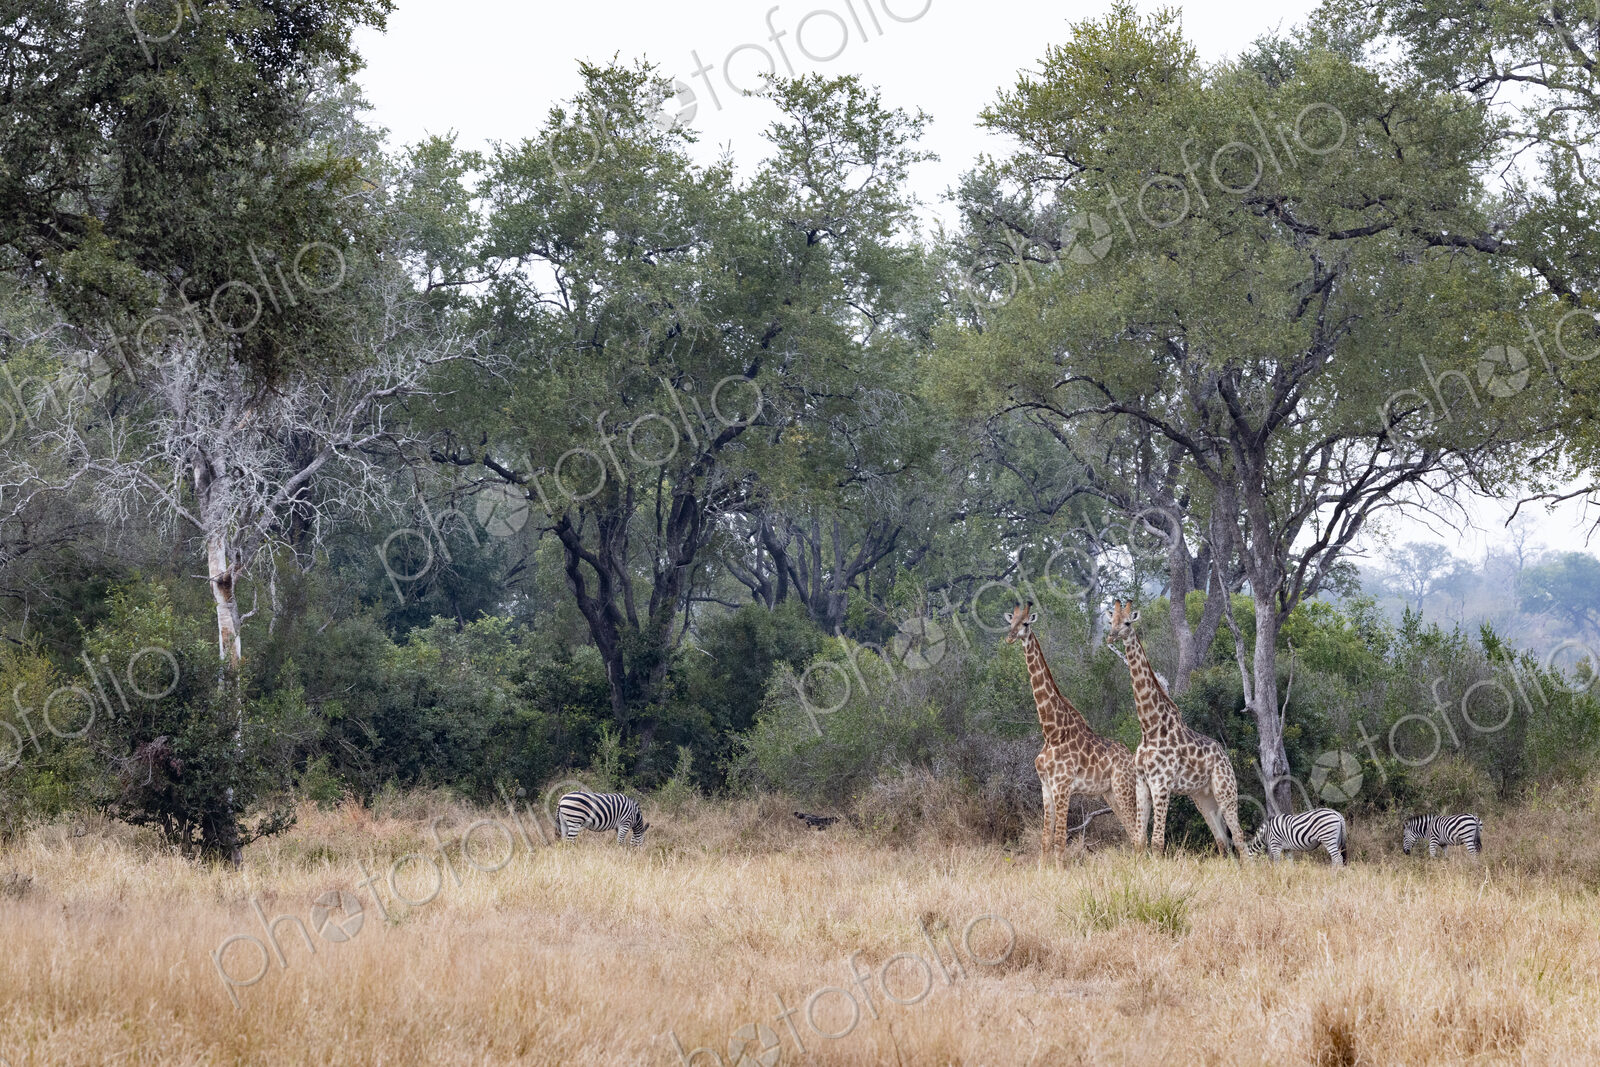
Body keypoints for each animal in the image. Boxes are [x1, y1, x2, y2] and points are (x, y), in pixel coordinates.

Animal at [1005, 603, 1138, 863]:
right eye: (1010, 621)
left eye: (1025, 623)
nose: (1009, 637)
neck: (1052, 732)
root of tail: (1131, 758)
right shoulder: (1046, 786)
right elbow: (1045, 840)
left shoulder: (1063, 786)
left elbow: (1059, 840)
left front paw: (1059, 869)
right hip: (1109, 793)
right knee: (1131, 830)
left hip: (1123, 787)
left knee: (1137, 830)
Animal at [1103, 599, 1246, 859]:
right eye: (1111, 621)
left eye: (1127, 622)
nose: (1111, 636)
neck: (1149, 726)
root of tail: (1225, 755)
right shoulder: (1142, 782)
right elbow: (1139, 840)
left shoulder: (1161, 783)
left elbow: (1157, 843)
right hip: (1202, 796)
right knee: (1222, 839)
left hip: (1225, 790)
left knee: (1239, 838)